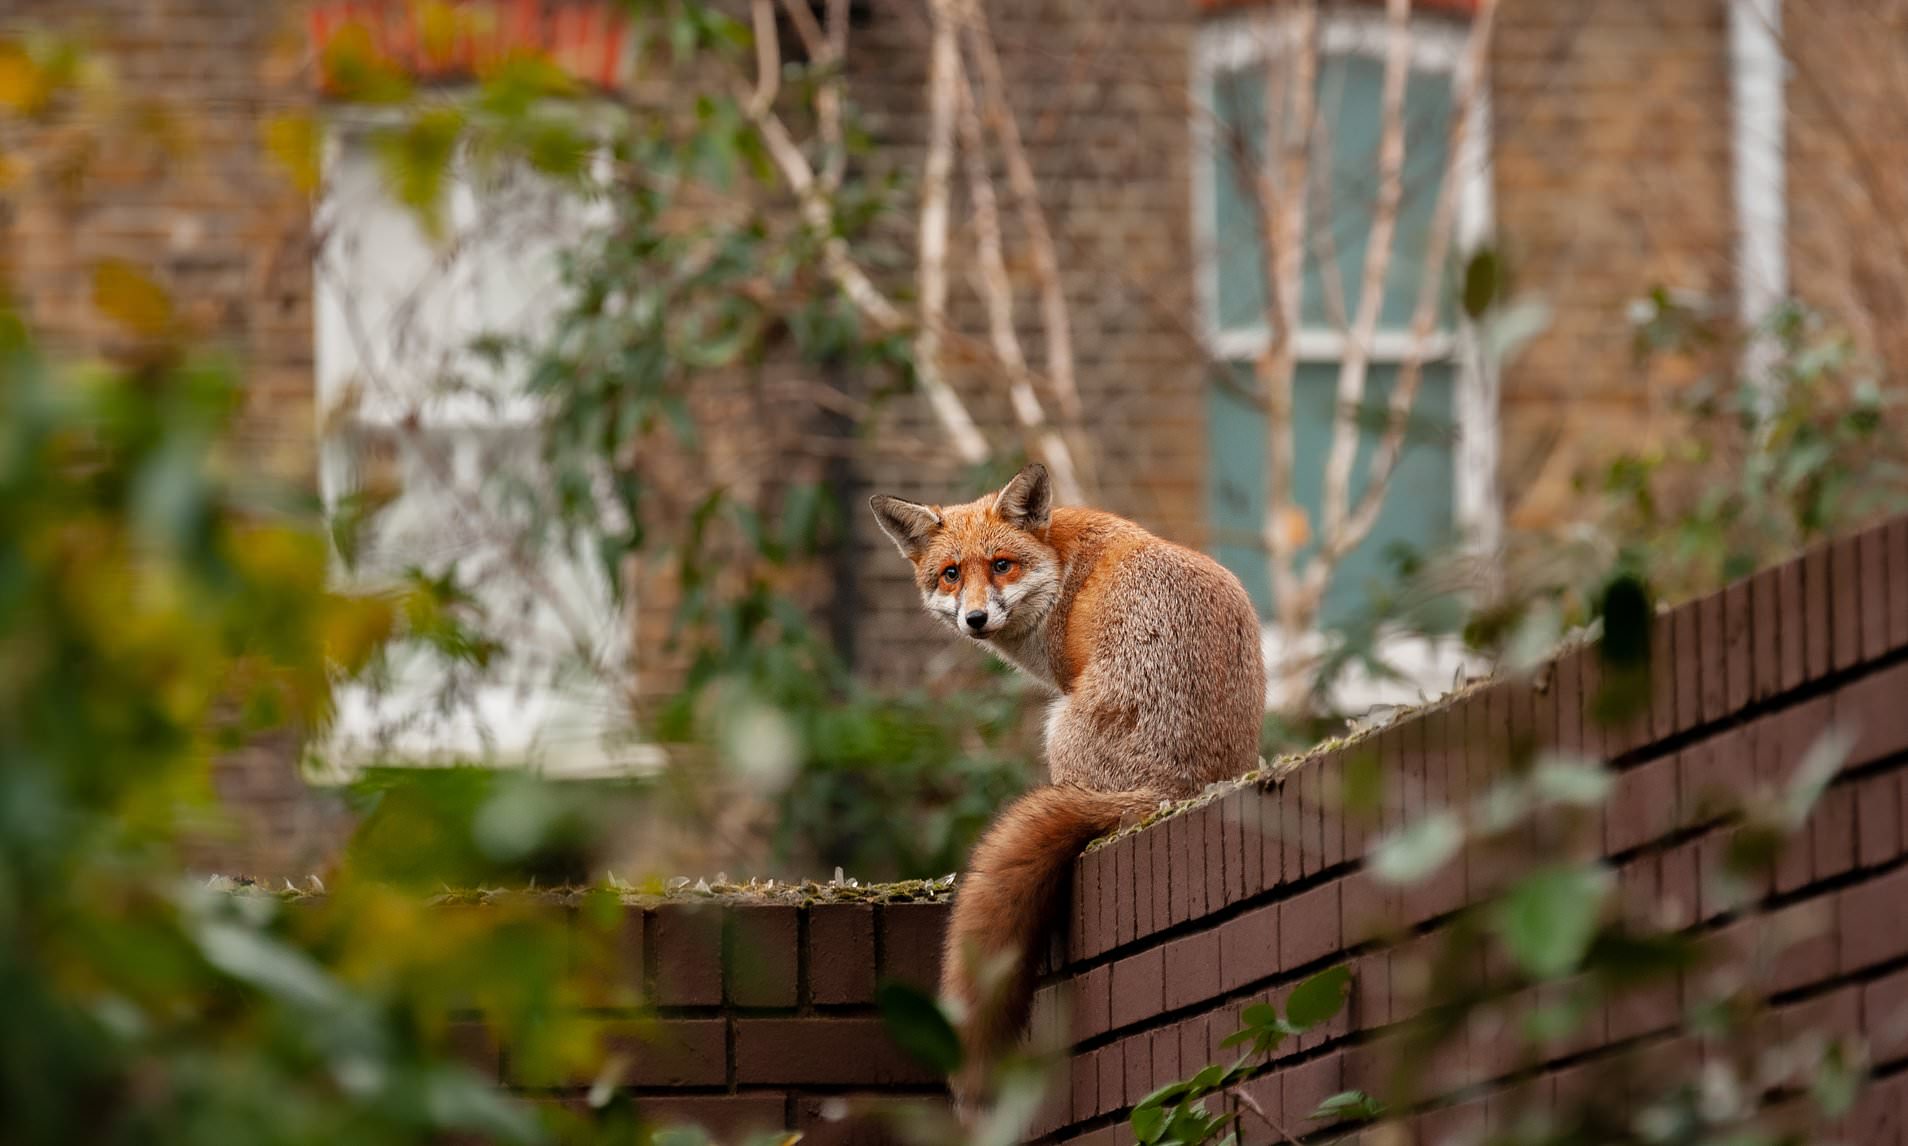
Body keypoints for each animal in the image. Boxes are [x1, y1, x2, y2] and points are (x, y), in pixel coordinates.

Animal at [869, 462, 1267, 1116]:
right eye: (951, 574)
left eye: (1001, 564)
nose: (974, 619)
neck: (1060, 565)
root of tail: (1177, 789)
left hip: (1056, 728)